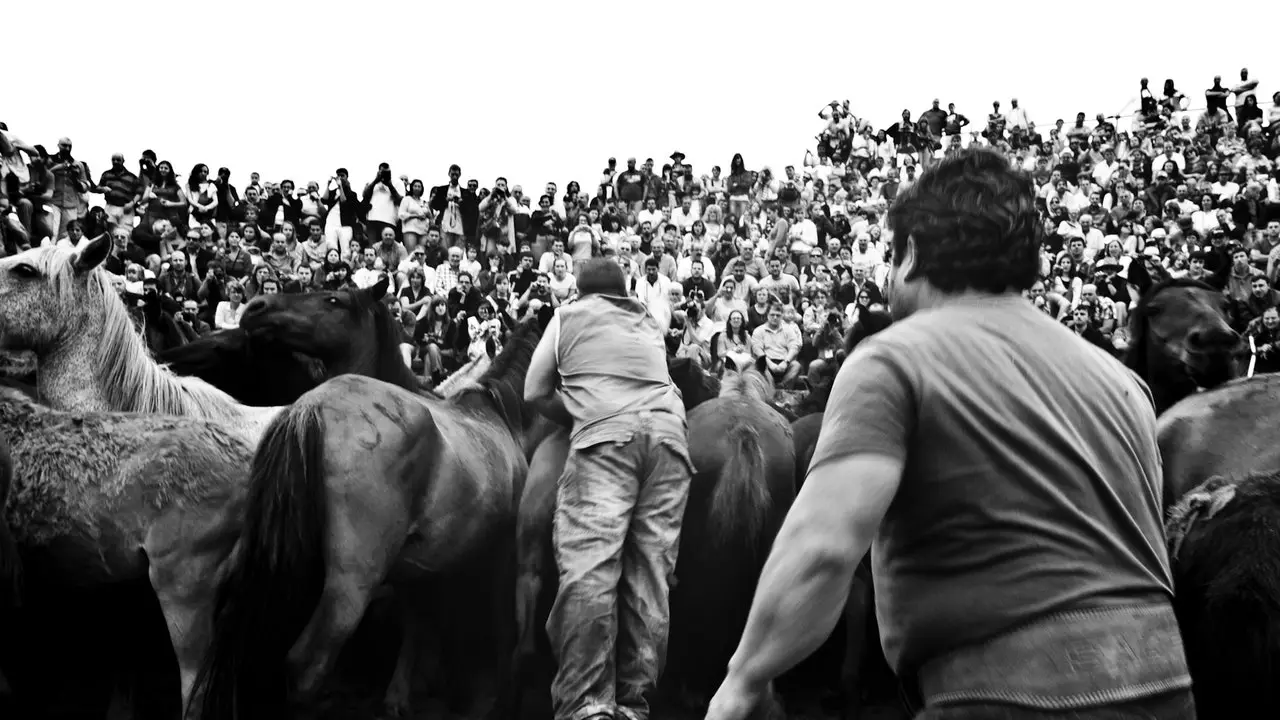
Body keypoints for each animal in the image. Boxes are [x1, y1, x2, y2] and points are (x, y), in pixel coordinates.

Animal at [189, 317, 545, 717]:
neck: (495, 416)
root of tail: (309, 409)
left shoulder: (420, 566)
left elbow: (417, 625)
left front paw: (399, 696)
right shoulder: (500, 554)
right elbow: (499, 625)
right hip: (351, 583)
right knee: (305, 664)